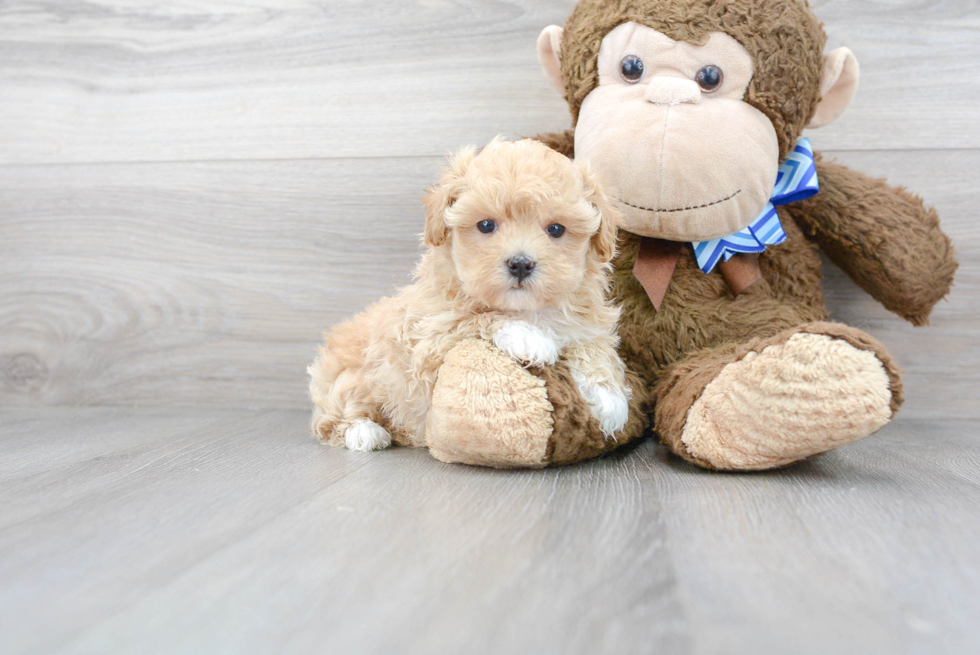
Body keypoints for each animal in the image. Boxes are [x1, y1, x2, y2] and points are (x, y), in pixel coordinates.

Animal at [310, 136, 632, 454]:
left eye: (556, 229)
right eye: (486, 225)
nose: (520, 264)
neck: (527, 309)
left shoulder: (584, 324)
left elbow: (594, 346)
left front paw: (610, 398)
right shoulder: (425, 338)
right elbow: (475, 318)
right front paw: (528, 337)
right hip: (351, 379)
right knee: (332, 418)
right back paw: (364, 431)